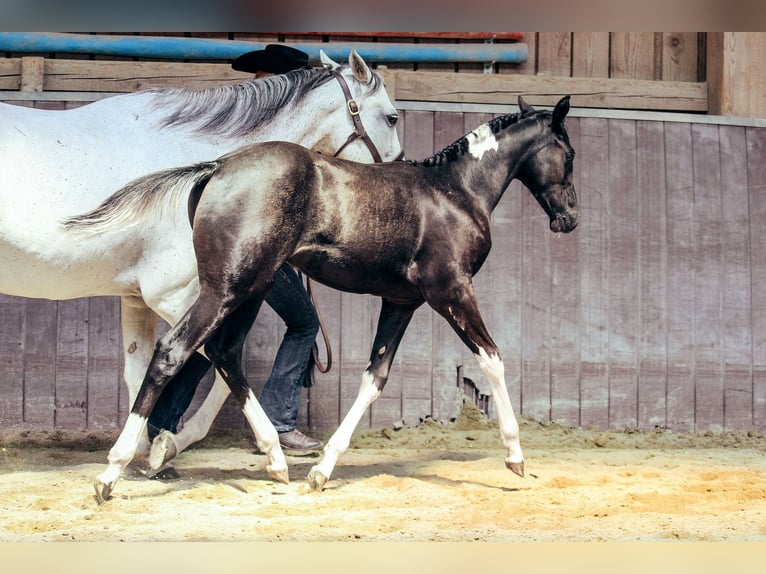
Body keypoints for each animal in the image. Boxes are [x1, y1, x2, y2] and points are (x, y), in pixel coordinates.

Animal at [0, 49, 403, 468]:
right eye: (392, 117)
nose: (398, 175)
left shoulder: (137, 298)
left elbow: (140, 369)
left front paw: (144, 448)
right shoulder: (176, 295)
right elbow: (214, 361)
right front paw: (172, 443)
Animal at [73, 94, 579, 503]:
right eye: (570, 154)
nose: (570, 218)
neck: (455, 193)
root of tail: (217, 166)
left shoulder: (401, 302)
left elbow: (374, 378)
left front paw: (321, 470)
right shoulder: (450, 290)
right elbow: (492, 358)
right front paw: (515, 456)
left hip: (250, 290)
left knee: (224, 352)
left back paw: (274, 461)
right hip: (226, 289)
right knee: (174, 351)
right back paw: (112, 473)